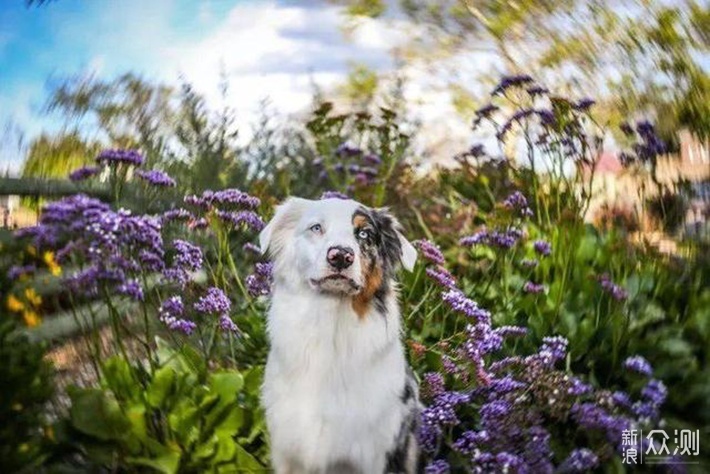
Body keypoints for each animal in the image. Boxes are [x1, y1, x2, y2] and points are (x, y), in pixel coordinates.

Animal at [262, 197, 426, 474]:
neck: (332, 328)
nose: (340, 256)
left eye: (364, 234)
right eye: (316, 228)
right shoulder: (289, 451)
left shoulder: (376, 455)